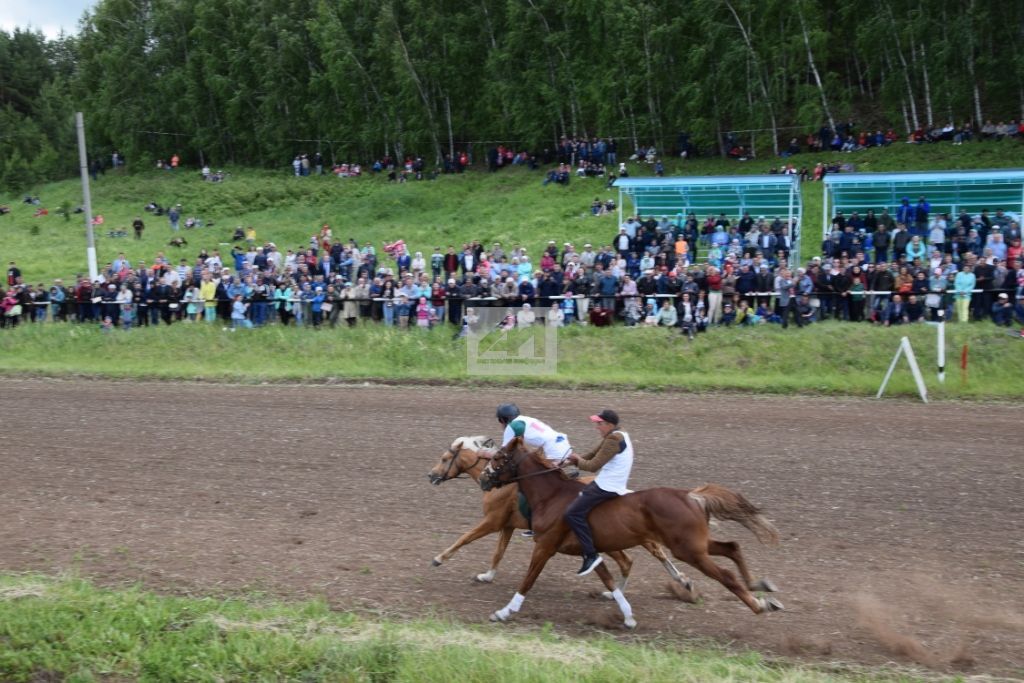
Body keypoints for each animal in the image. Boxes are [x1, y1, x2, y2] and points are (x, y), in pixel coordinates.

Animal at [423, 438, 696, 598]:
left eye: (445, 459)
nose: (431, 475)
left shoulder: (493, 521)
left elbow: (464, 538)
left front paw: (438, 558)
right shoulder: (507, 525)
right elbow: (498, 552)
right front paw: (487, 576)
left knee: (648, 552)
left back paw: (679, 581)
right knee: (641, 554)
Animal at [479, 440, 782, 626]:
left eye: (498, 457)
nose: (483, 478)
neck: (552, 496)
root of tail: (690, 495)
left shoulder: (545, 547)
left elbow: (527, 580)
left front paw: (503, 612)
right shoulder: (591, 553)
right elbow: (611, 582)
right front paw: (627, 617)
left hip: (688, 550)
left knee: (727, 574)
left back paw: (758, 604)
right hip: (695, 545)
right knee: (732, 547)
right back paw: (760, 586)